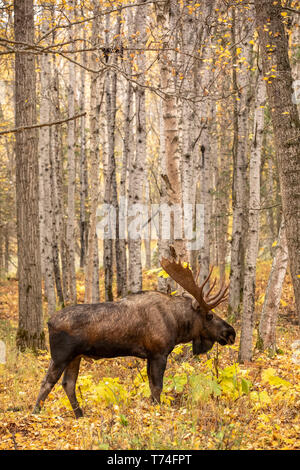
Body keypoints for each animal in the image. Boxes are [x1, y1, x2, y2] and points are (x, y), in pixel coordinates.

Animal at [32, 258, 234, 418]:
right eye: (210, 316)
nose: (231, 333)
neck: (177, 325)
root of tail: (49, 322)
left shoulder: (150, 355)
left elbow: (152, 386)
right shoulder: (159, 353)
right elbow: (157, 387)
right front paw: (158, 412)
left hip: (76, 356)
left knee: (68, 383)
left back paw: (80, 414)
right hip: (61, 355)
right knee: (47, 382)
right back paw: (35, 413)